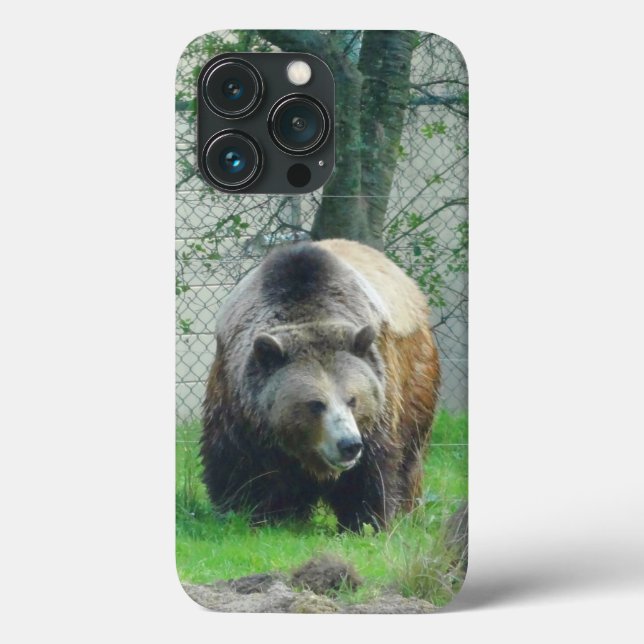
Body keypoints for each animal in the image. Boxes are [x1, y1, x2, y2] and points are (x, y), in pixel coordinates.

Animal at [200, 239, 440, 531]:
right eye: (316, 404)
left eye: (353, 399)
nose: (348, 444)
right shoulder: (236, 401)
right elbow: (234, 465)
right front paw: (243, 512)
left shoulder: (381, 401)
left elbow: (372, 471)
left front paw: (365, 520)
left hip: (417, 378)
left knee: (410, 456)